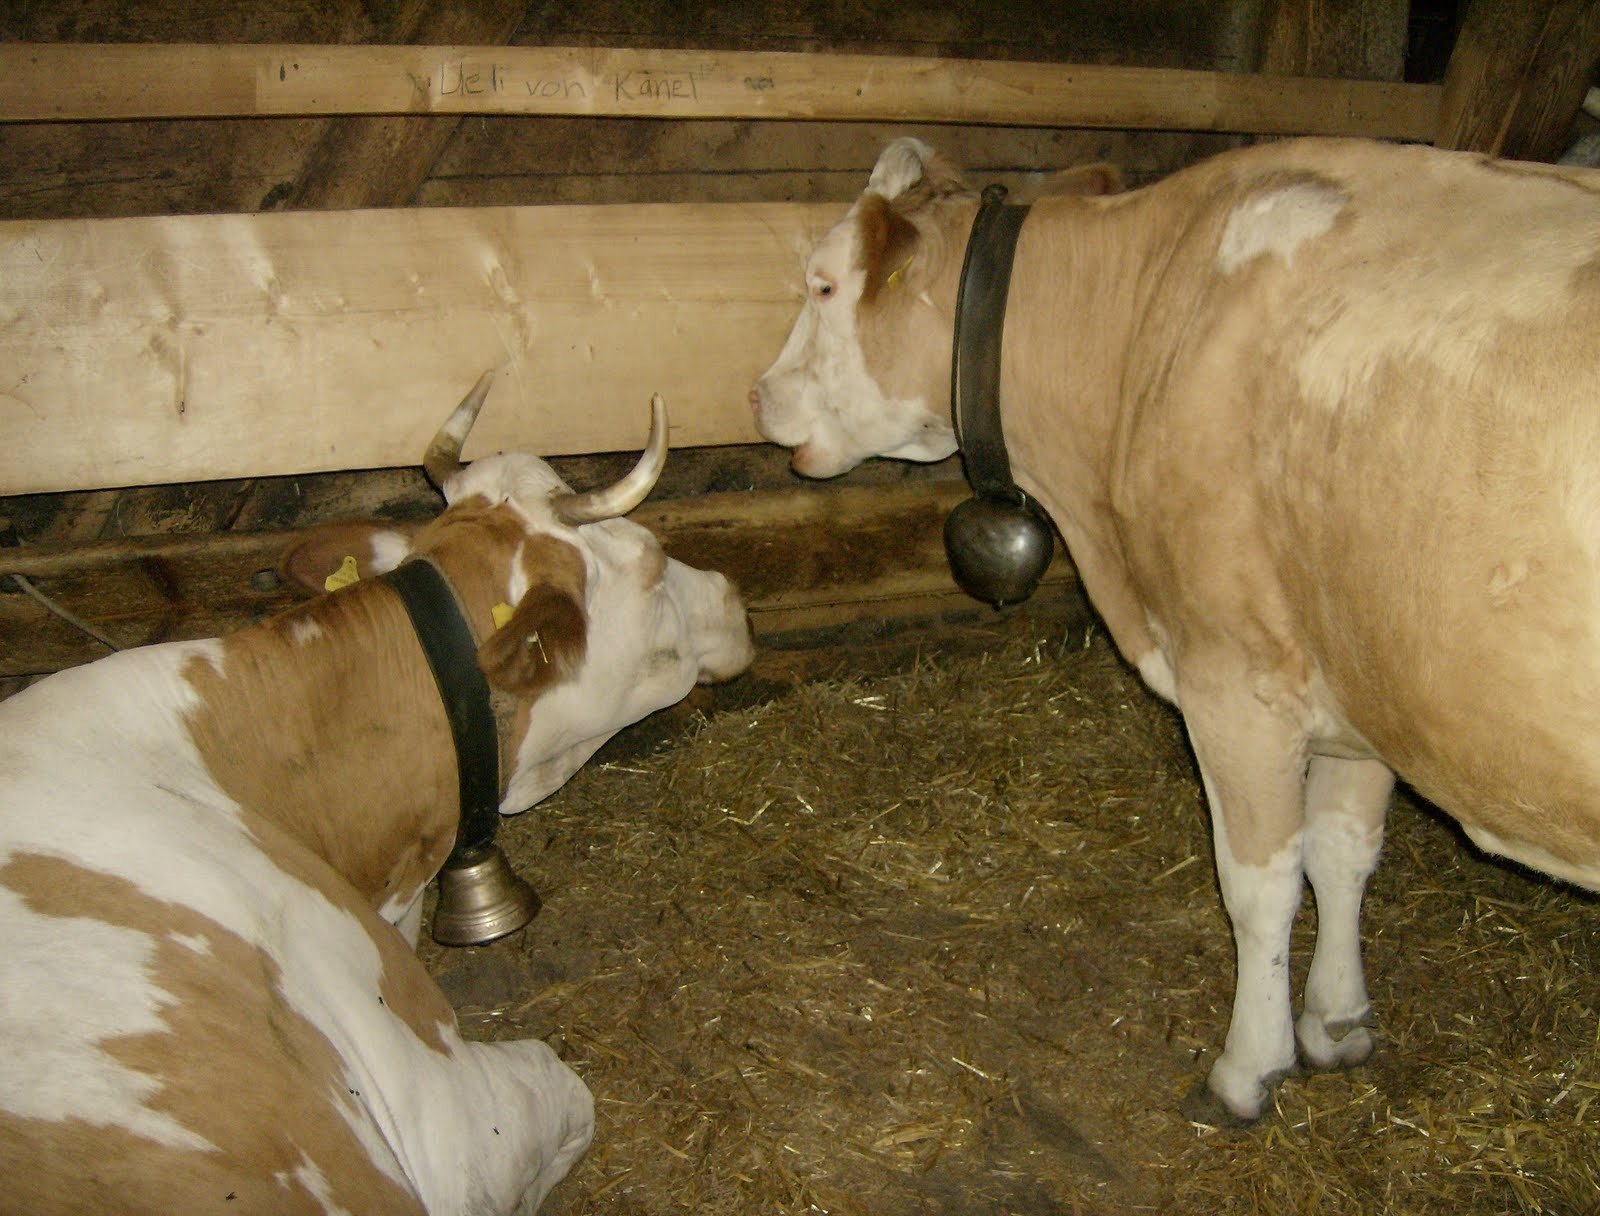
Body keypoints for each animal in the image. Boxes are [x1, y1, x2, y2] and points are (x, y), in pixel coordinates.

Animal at [750, 135, 1600, 1124]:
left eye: (821, 285)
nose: (757, 395)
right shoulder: (1360, 690)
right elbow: (1345, 856)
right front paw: (1336, 1022)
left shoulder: (1234, 677)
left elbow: (1261, 886)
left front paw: (1248, 1067)